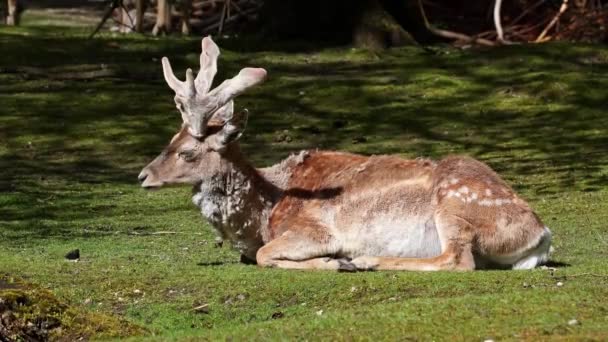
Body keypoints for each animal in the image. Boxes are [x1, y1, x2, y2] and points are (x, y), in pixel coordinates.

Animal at [137, 36, 552, 272]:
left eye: (187, 152)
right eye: (169, 139)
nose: (143, 175)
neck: (263, 215)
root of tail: (541, 234)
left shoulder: (313, 230)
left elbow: (264, 256)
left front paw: (334, 262)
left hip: (455, 206)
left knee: (458, 261)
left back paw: (362, 260)